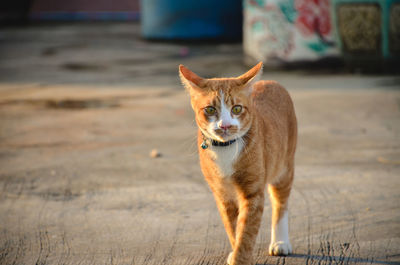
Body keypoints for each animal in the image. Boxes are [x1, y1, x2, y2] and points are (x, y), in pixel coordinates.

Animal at [180, 62, 296, 264]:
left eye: (236, 109)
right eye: (210, 110)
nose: (225, 125)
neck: (226, 150)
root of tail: (271, 81)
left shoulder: (252, 193)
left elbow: (246, 232)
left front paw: (240, 258)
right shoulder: (223, 195)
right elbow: (234, 228)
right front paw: (235, 252)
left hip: (284, 167)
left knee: (280, 203)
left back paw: (280, 241)